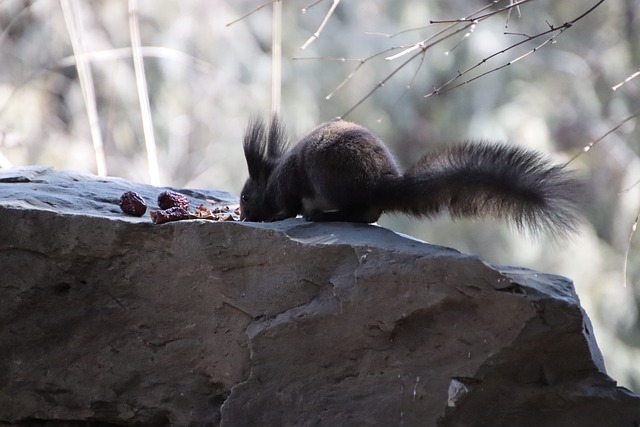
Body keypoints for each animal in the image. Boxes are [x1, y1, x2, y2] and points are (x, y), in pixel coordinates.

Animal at [240, 115, 584, 239]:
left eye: (245, 197)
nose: (242, 217)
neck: (272, 177)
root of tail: (381, 184)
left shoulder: (288, 187)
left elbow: (288, 207)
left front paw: (276, 217)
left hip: (328, 179)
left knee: (359, 213)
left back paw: (323, 216)